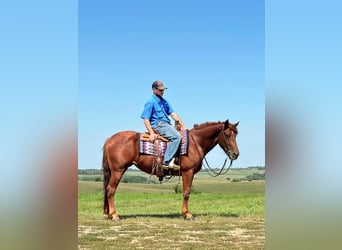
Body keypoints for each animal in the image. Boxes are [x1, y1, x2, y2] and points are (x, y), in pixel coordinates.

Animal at [103, 119, 239, 221]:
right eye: (227, 135)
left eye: (236, 135)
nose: (235, 154)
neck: (195, 143)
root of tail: (109, 139)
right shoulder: (188, 172)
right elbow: (186, 193)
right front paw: (187, 214)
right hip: (118, 170)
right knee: (110, 190)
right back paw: (114, 215)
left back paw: (108, 213)